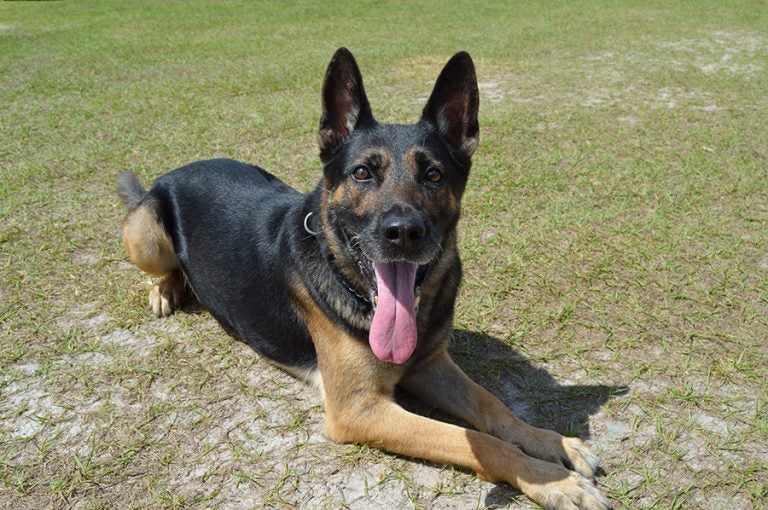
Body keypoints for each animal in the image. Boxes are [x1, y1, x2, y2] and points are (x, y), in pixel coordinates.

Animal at [118, 48, 612, 510]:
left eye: (434, 174)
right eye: (361, 173)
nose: (403, 232)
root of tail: (172, 173)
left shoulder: (430, 365)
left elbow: (492, 405)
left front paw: (551, 442)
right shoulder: (360, 410)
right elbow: (471, 440)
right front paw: (553, 482)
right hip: (145, 234)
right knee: (162, 266)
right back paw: (165, 289)